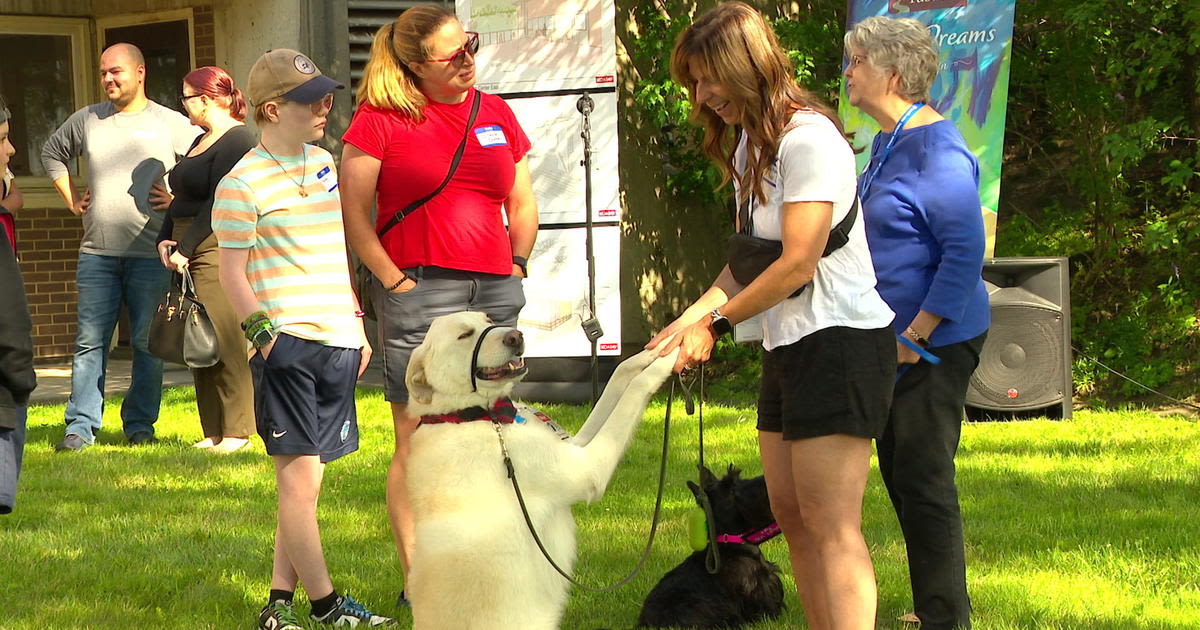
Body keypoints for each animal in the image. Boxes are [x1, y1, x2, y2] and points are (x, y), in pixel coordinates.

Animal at [408, 312, 681, 624]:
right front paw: (671, 356)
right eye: (465, 335)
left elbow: (620, 376)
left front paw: (663, 343)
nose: (515, 336)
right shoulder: (588, 468)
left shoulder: (575, 445)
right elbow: (635, 389)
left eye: (488, 319)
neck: (472, 415)